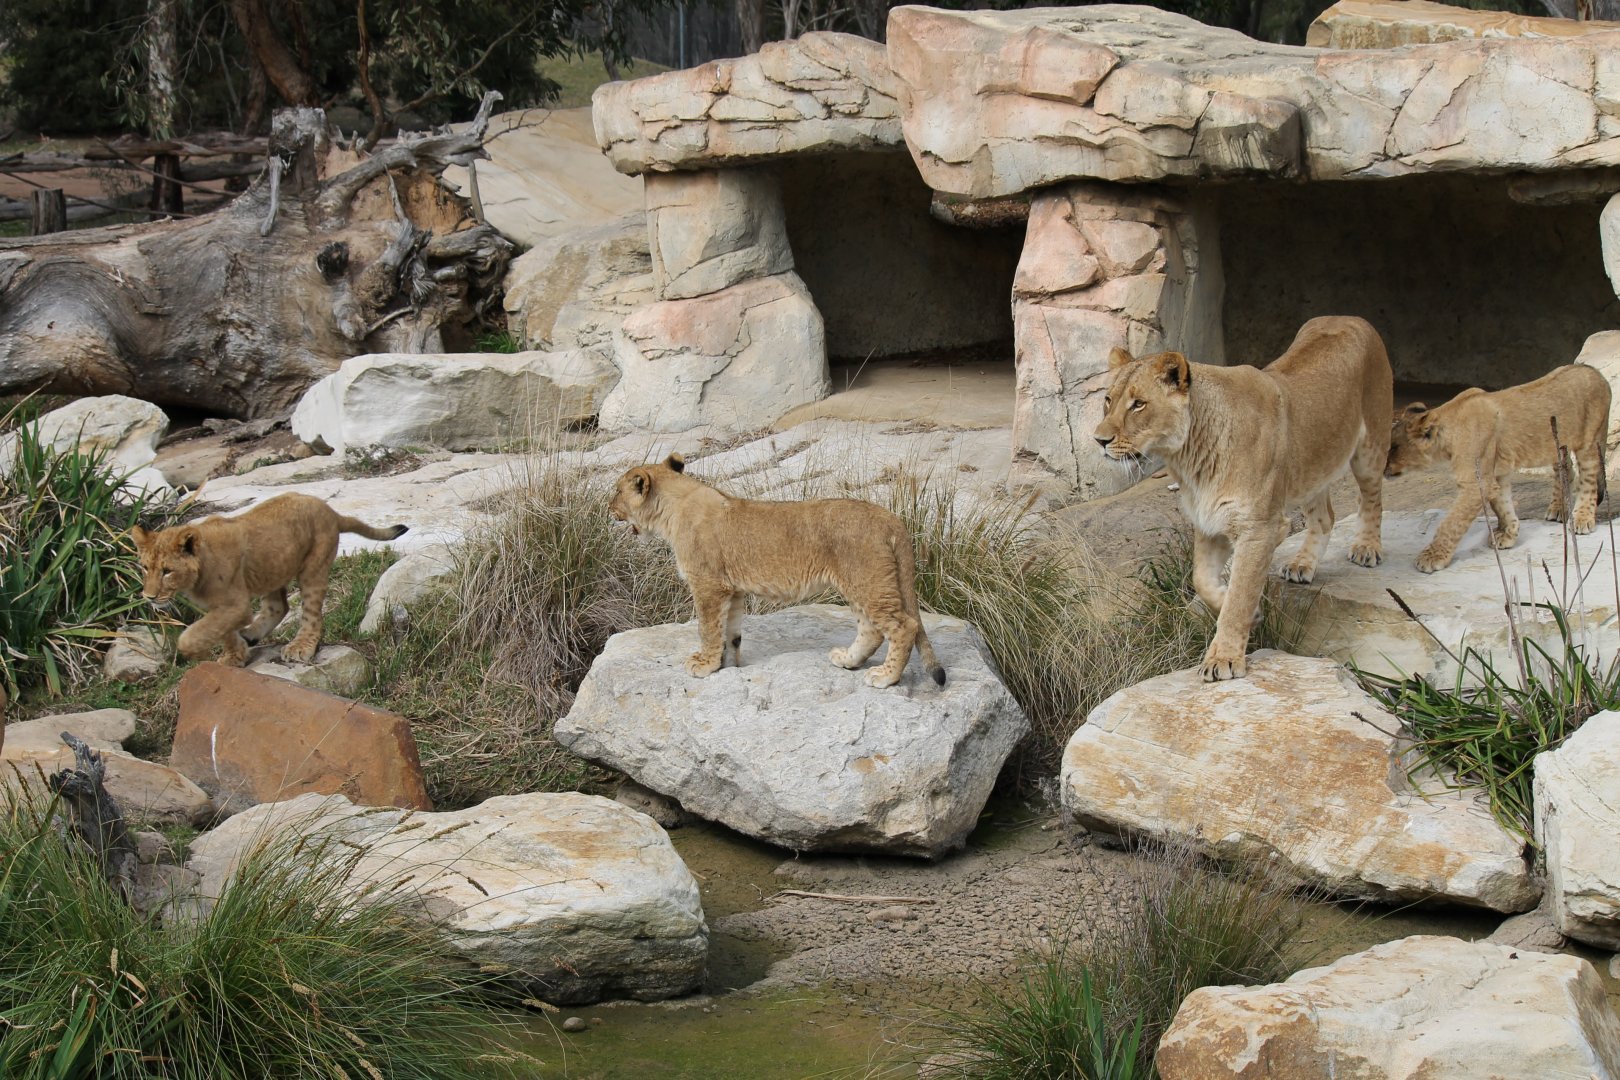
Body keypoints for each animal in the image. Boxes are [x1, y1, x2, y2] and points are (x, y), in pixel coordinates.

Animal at [130, 492, 407, 666]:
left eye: (167, 571)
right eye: (144, 568)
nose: (149, 597)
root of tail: (328, 508)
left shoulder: (236, 605)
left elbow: (194, 635)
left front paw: (197, 652)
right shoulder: (221, 608)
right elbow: (223, 631)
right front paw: (235, 656)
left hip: (313, 567)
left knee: (311, 614)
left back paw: (300, 647)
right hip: (271, 570)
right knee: (279, 607)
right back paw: (252, 635)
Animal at [607, 454, 945, 689]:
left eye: (617, 491)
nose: (609, 509)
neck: (673, 509)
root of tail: (891, 518)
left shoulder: (708, 585)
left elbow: (707, 628)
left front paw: (703, 665)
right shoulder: (732, 589)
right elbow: (730, 632)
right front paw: (727, 665)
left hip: (868, 582)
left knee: (904, 626)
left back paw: (885, 677)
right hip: (860, 583)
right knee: (873, 629)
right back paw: (848, 660)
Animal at [1094, 315, 1393, 681]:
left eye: (1138, 404)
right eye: (1108, 400)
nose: (1099, 440)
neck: (1188, 459)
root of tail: (1351, 317)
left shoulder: (1259, 528)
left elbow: (1240, 593)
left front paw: (1223, 658)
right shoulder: (1209, 523)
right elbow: (1202, 580)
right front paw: (1249, 612)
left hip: (1370, 447)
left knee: (1372, 499)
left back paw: (1366, 547)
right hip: (1312, 466)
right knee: (1325, 516)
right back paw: (1302, 565)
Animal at [1385, 364, 1611, 573]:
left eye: (1393, 448)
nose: (1383, 469)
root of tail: (1595, 371)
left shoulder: (1475, 483)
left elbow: (1451, 523)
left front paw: (1432, 557)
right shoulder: (1495, 475)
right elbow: (1502, 505)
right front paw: (1508, 534)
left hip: (1589, 441)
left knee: (1589, 480)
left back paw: (1582, 518)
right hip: (1556, 444)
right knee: (1566, 468)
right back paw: (1558, 509)